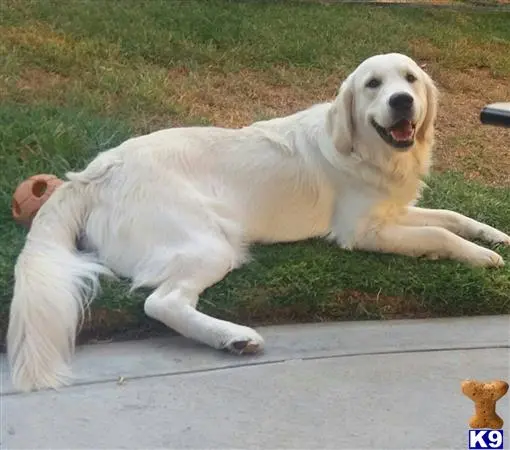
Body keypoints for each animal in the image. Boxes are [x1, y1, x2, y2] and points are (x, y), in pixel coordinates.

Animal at [7, 51, 510, 390]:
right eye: (373, 84)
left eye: (409, 79)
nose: (402, 101)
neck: (370, 152)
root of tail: (94, 171)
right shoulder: (363, 231)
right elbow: (438, 232)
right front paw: (481, 256)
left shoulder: (394, 210)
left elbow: (452, 215)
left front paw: (495, 234)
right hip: (210, 243)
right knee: (160, 303)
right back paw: (233, 338)